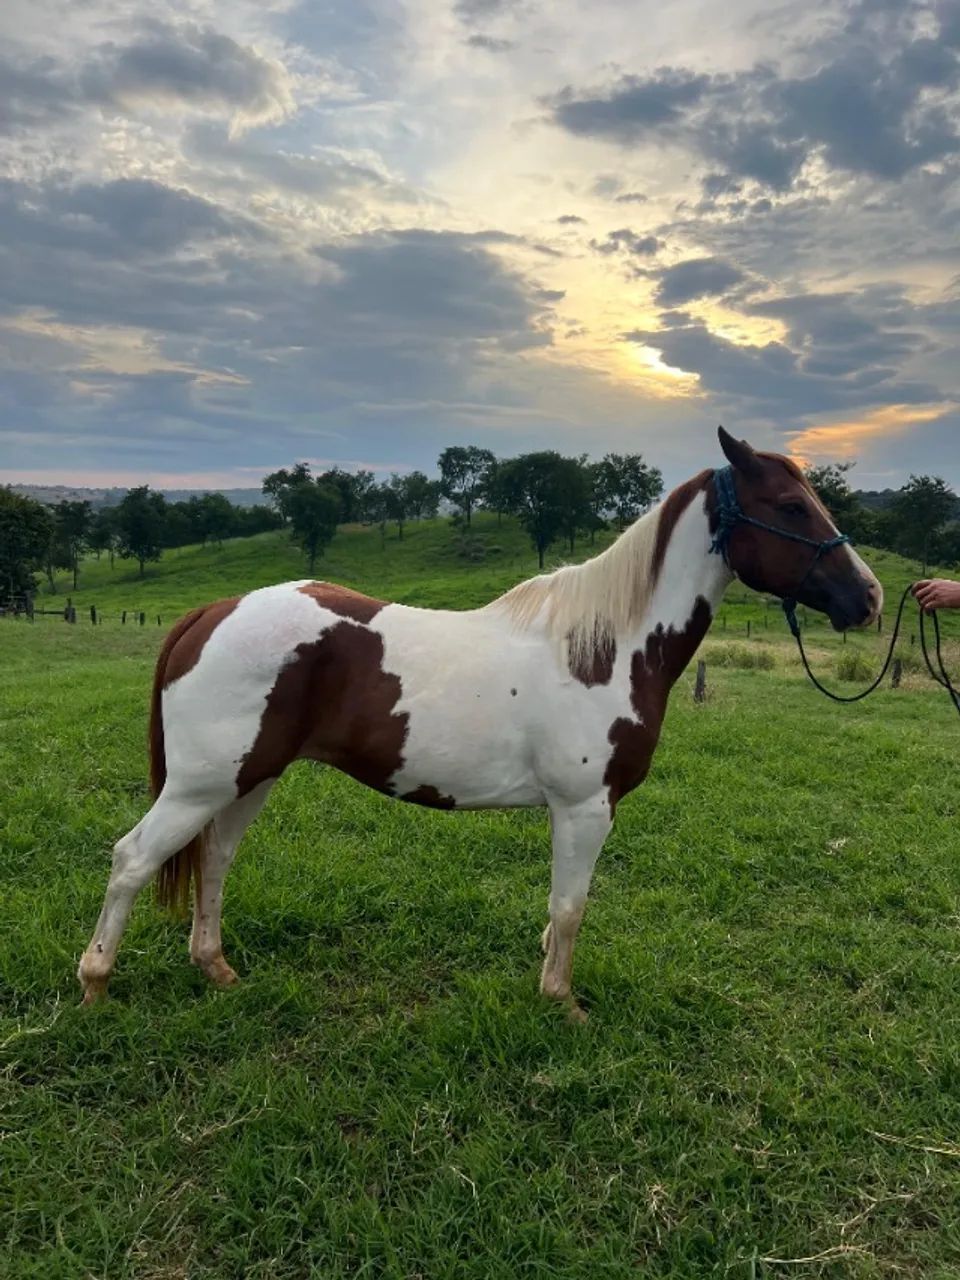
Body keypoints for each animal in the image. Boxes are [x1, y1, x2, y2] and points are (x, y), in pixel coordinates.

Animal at [78, 428, 883, 1017]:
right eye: (790, 506)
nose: (868, 597)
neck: (606, 648)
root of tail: (212, 611)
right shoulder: (584, 809)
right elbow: (571, 907)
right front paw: (562, 1004)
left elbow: (560, 913)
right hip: (201, 785)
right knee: (132, 860)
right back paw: (95, 985)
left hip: (251, 778)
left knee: (214, 860)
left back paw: (215, 970)